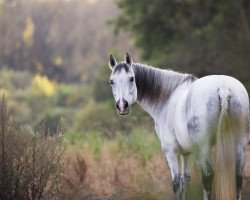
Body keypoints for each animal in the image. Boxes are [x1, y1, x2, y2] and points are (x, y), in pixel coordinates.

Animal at [108, 52, 250, 199]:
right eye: (111, 81)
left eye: (132, 79)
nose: (122, 106)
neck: (167, 98)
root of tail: (223, 88)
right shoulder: (188, 153)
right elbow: (185, 181)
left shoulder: (171, 151)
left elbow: (176, 184)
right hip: (239, 146)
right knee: (238, 178)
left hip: (204, 149)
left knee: (208, 177)